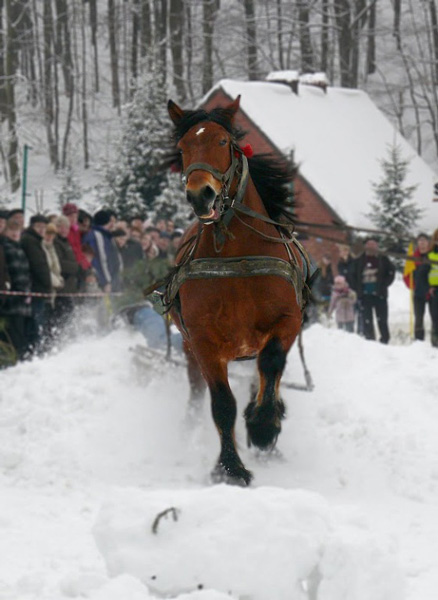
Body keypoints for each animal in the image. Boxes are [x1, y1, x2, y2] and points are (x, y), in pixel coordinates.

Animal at [166, 96, 314, 486]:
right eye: (182, 148)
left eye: (222, 141)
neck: (237, 258)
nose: (200, 195)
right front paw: (230, 467)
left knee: (264, 375)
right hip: (189, 347)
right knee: (197, 389)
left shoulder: (287, 321)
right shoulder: (203, 340)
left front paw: (262, 426)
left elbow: (271, 364)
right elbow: (221, 404)